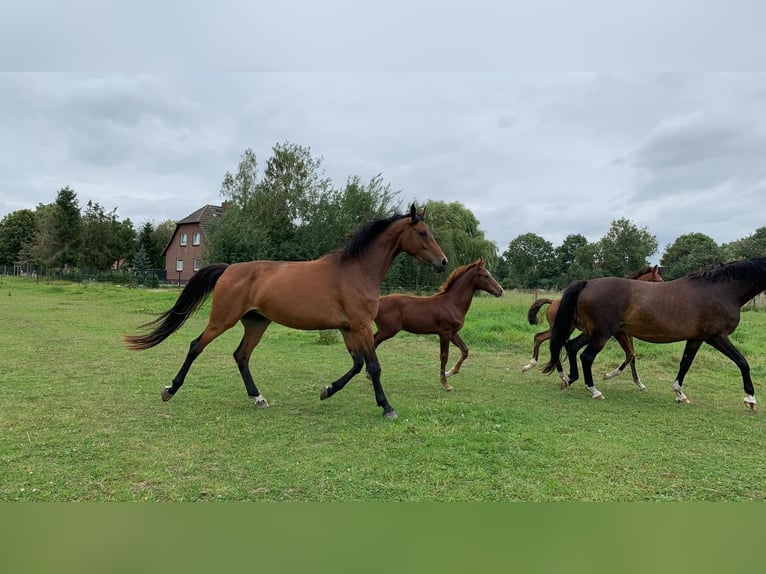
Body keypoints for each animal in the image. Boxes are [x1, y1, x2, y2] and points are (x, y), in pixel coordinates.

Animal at [124, 205, 450, 420]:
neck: (356, 271)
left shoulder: (349, 328)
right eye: (423, 233)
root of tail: (229, 269)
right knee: (196, 346)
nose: (443, 262)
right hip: (222, 320)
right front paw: (387, 407)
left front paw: (327, 390)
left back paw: (258, 398)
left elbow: (357, 364)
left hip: (257, 323)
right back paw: (170, 390)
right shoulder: (360, 326)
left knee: (241, 356)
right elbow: (373, 366)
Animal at [372, 260, 504, 392]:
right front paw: (446, 384)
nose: (500, 290)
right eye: (486, 275)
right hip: (388, 330)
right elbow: (444, 356)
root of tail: (378, 302)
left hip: (385, 330)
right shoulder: (444, 333)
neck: (452, 303)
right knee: (373, 342)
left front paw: (449, 372)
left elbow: (465, 350)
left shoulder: (453, 333)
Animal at [520, 266, 664, 392]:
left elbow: (632, 356)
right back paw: (553, 372)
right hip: (565, 329)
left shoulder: (629, 336)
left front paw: (639, 384)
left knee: (542, 339)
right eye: (658, 281)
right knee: (549, 342)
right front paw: (609, 375)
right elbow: (630, 355)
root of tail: (553, 302)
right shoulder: (620, 334)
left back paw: (536, 367)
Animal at [540, 256, 766, 410]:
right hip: (601, 334)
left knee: (571, 347)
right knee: (586, 356)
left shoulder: (696, 338)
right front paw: (750, 399)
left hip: (592, 332)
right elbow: (742, 362)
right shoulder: (716, 337)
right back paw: (594, 390)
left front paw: (679, 393)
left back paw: (569, 379)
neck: (720, 290)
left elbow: (685, 364)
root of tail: (587, 283)